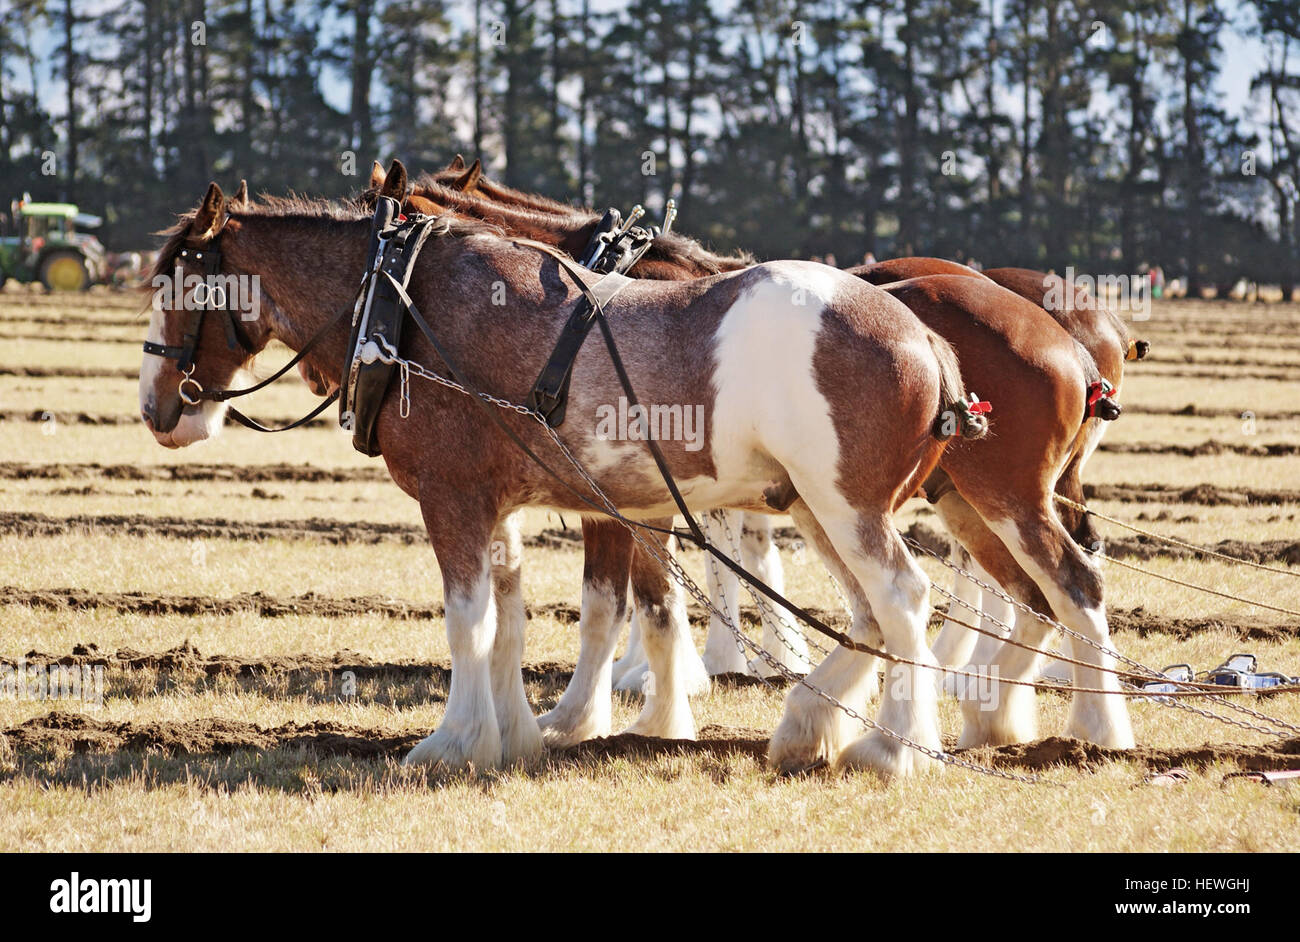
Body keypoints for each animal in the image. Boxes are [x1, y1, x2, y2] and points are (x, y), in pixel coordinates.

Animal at [139, 181, 977, 769]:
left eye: (178, 287)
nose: (154, 407)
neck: (402, 305)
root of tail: (926, 338)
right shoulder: (499, 505)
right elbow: (509, 620)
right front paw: (513, 734)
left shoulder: (453, 498)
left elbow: (469, 621)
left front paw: (454, 740)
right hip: (811, 503)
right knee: (868, 615)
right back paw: (812, 724)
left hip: (846, 506)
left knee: (902, 599)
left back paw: (897, 749)